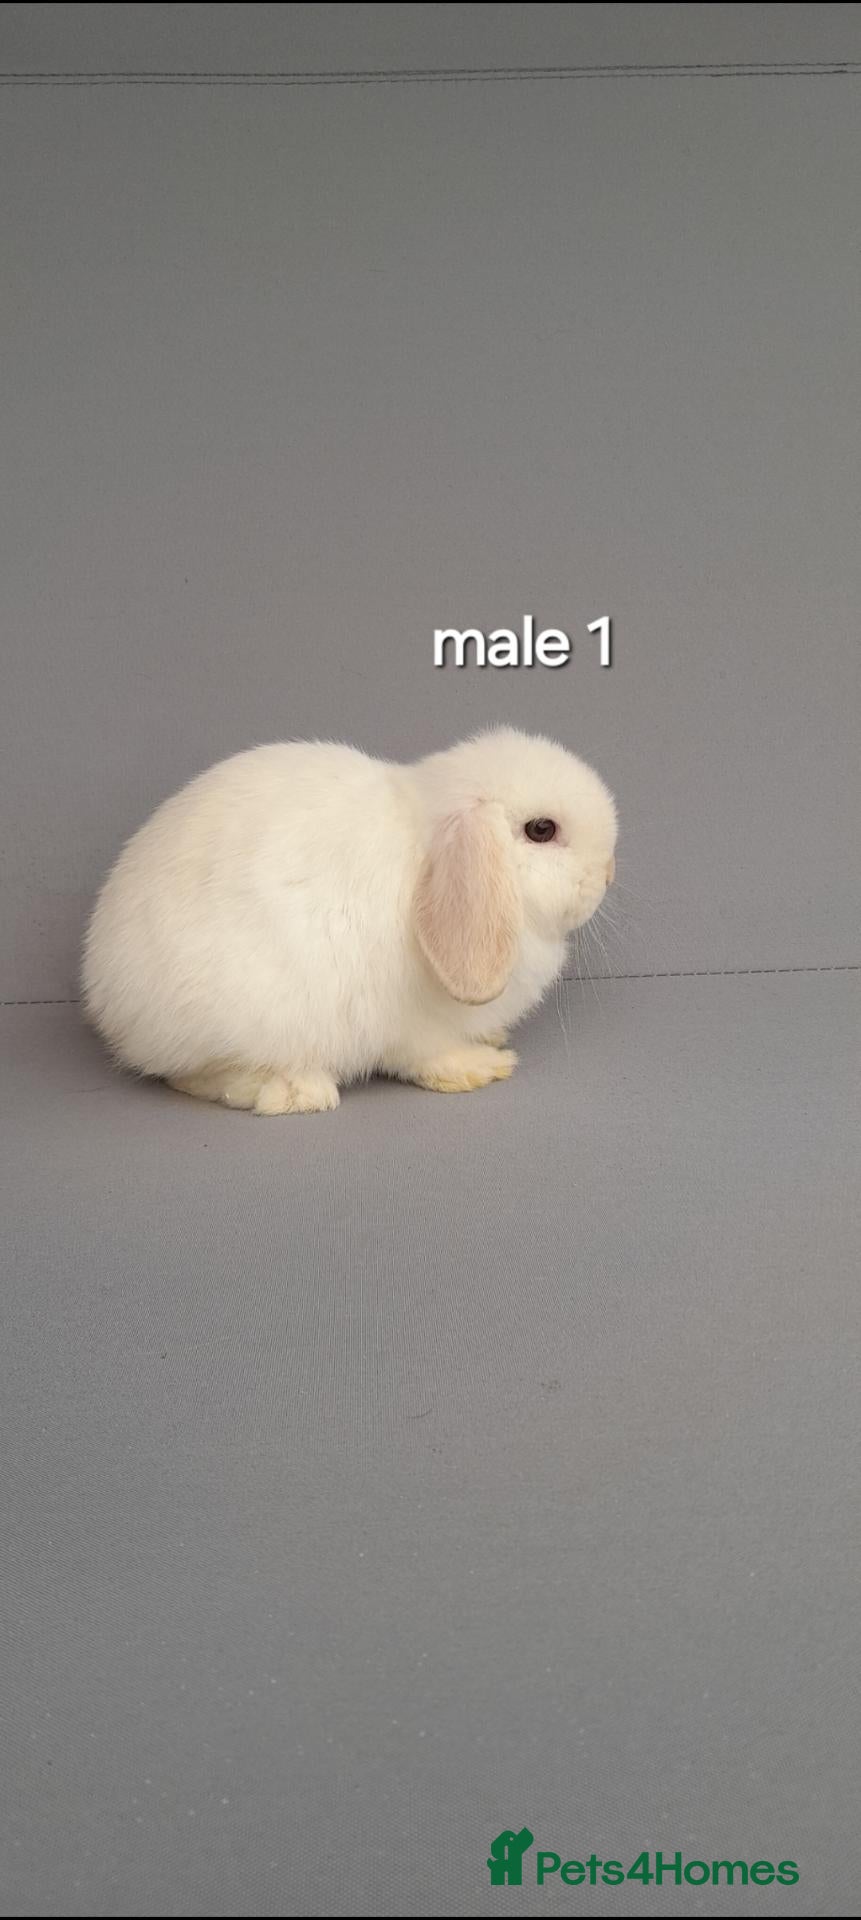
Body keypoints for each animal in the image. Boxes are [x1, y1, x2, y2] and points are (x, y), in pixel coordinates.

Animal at [81, 727, 617, 1113]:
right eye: (541, 829)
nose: (608, 873)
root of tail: (106, 997)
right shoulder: (417, 1026)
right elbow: (429, 1054)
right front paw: (479, 1067)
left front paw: (491, 1039)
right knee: (198, 1076)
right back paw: (296, 1092)